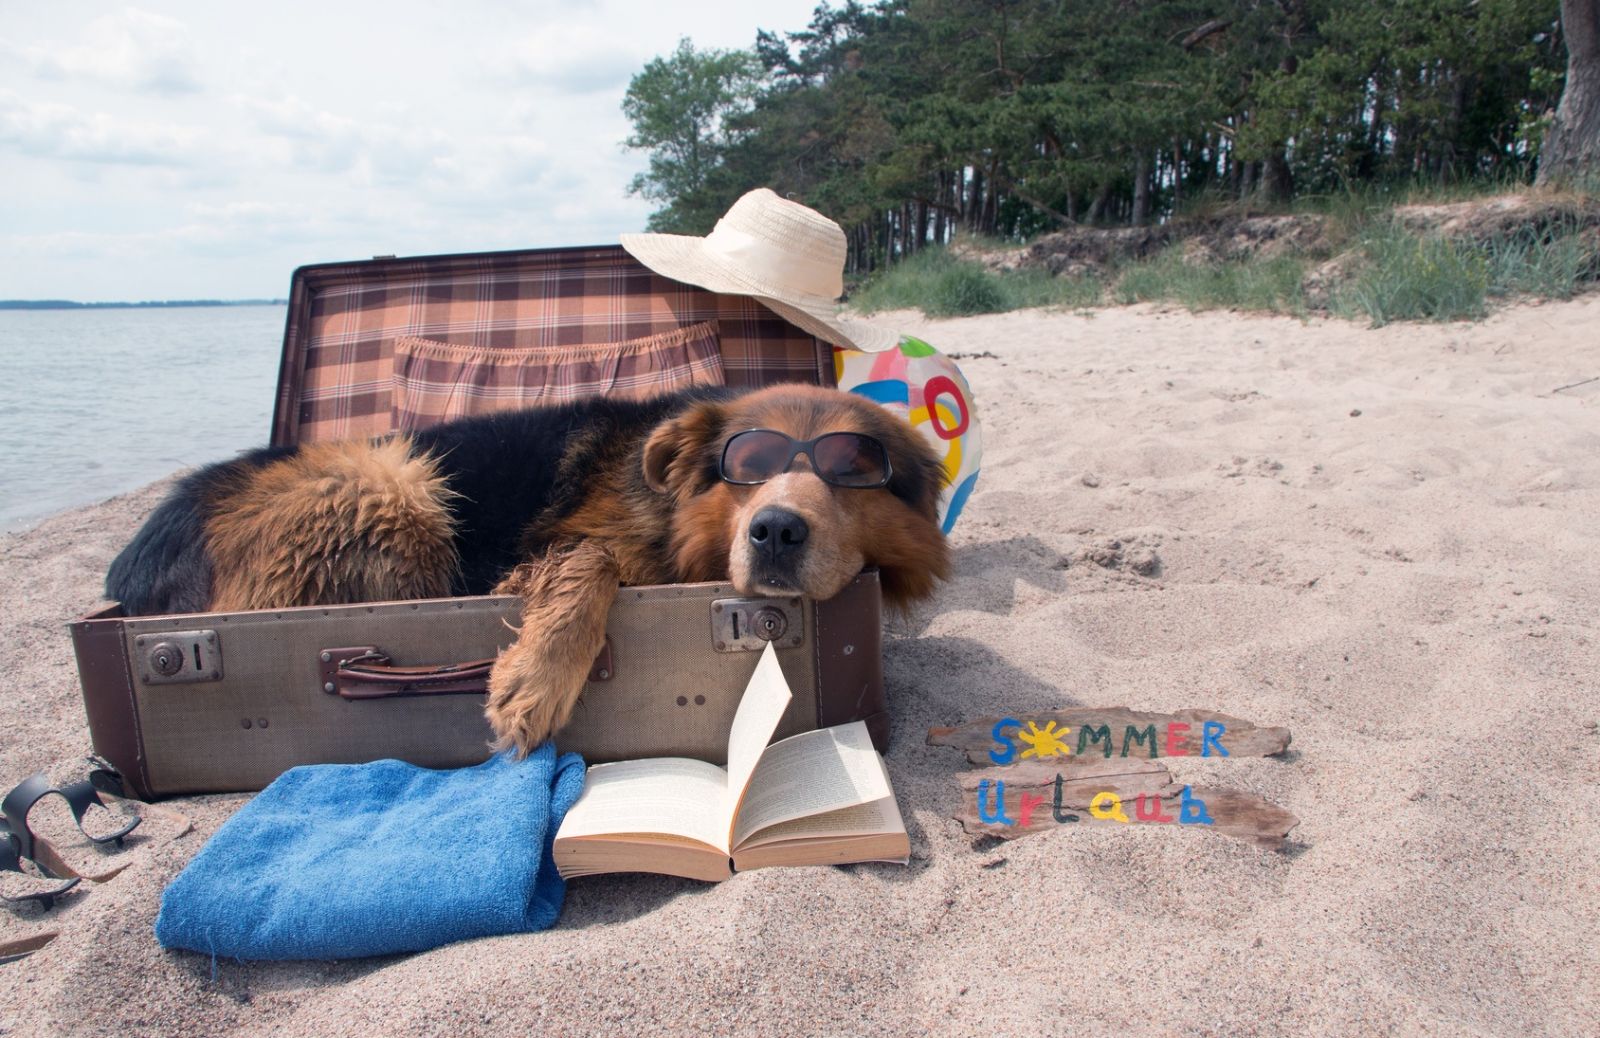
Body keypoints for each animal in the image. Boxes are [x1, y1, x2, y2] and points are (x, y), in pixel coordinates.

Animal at [109, 383, 947, 748]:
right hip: (395, 481)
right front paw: (539, 675)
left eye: (853, 473)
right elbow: (590, 559)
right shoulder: (557, 545)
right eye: (747, 465)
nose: (775, 530)